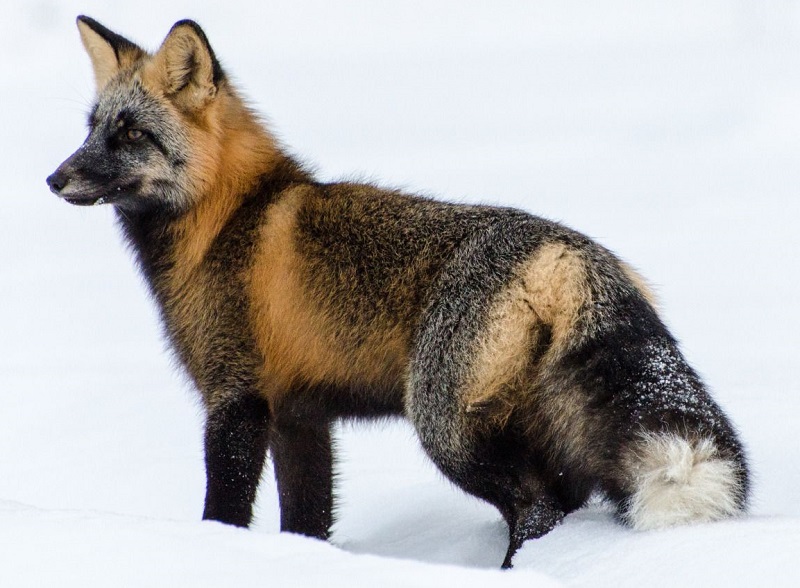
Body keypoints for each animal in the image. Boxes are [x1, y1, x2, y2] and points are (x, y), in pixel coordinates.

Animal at [47, 16, 749, 568]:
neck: (228, 217)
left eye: (132, 134)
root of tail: (568, 252)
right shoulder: (300, 417)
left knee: (539, 506)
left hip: (444, 429)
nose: (54, 179)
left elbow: (224, 511)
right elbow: (307, 522)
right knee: (563, 502)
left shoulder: (236, 400)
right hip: (537, 425)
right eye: (91, 128)